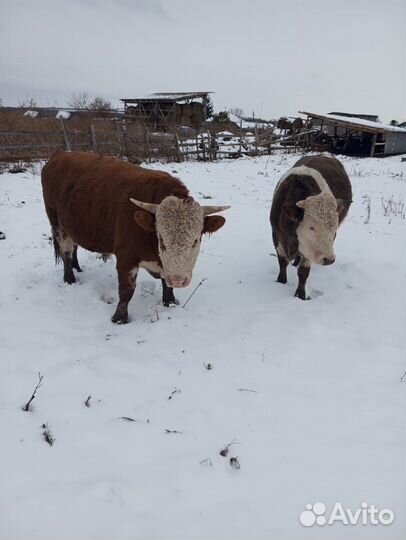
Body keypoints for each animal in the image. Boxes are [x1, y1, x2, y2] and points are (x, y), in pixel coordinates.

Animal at [43, 150, 232, 322]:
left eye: (195, 240)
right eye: (161, 238)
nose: (178, 280)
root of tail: (59, 154)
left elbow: (166, 285)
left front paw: (170, 303)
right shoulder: (126, 257)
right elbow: (127, 290)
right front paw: (119, 318)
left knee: (73, 246)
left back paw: (77, 268)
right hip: (57, 222)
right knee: (65, 252)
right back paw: (70, 278)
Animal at [270, 153, 352, 300]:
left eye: (334, 230)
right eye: (311, 227)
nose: (329, 259)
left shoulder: (309, 249)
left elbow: (303, 272)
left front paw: (300, 296)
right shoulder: (276, 236)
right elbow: (282, 262)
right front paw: (281, 281)